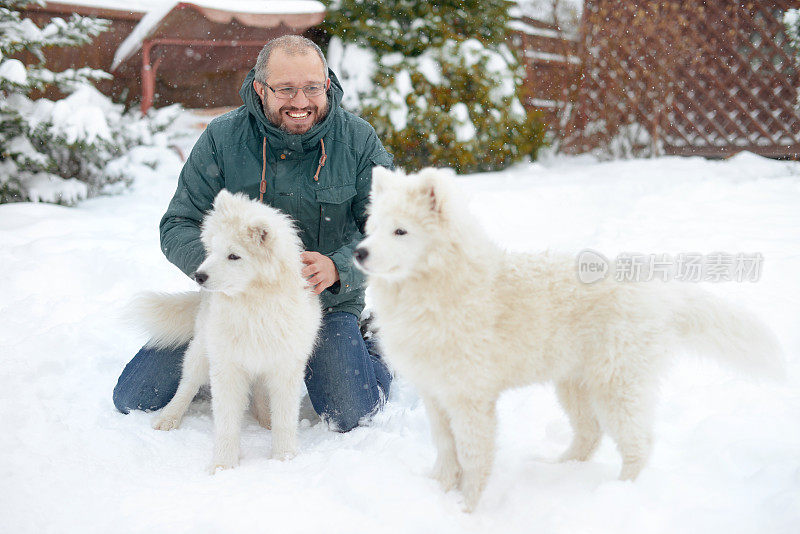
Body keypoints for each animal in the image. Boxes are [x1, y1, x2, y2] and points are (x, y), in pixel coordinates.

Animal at [133, 192, 320, 474]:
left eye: (234, 256)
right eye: (212, 250)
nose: (198, 275)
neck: (254, 308)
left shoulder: (285, 366)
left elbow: (285, 420)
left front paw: (284, 459)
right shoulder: (227, 366)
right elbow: (227, 423)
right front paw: (223, 467)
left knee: (260, 392)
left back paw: (265, 419)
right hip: (201, 351)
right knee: (187, 385)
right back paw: (168, 418)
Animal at [354, 169, 780, 516]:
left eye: (401, 231)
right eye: (371, 228)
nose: (358, 252)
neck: (440, 288)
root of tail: (660, 293)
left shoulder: (470, 398)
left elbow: (473, 456)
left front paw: (465, 509)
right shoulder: (435, 393)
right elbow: (445, 448)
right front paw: (436, 490)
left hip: (616, 385)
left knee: (638, 442)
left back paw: (618, 494)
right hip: (574, 383)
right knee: (589, 435)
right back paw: (556, 469)